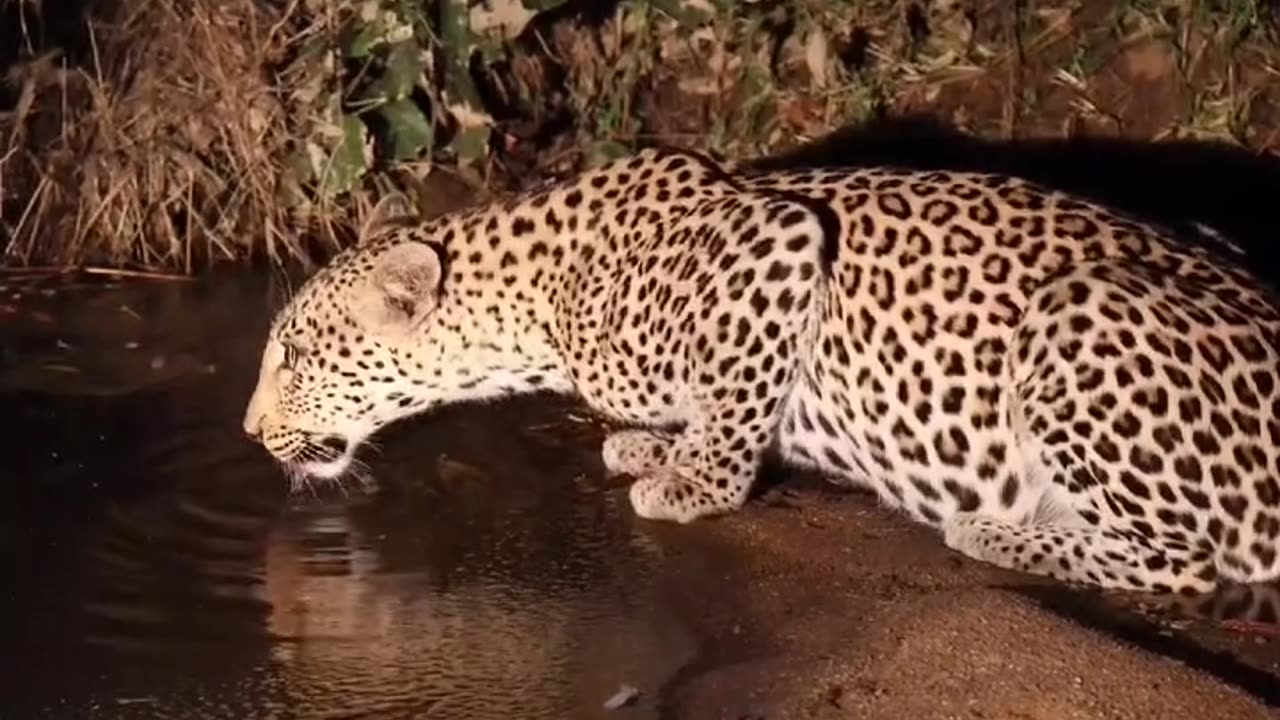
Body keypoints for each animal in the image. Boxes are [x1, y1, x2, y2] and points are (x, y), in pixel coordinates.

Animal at [241, 146, 1280, 594]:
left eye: (293, 353)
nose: (248, 432)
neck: (530, 305)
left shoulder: (774, 245)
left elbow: (738, 395)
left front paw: (693, 483)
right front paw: (648, 448)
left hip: (1079, 313)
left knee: (1184, 564)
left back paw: (1001, 534)